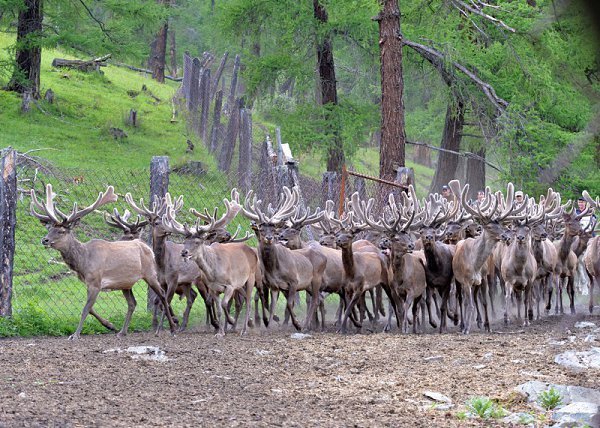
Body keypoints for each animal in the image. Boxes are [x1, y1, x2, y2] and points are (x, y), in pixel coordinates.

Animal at [30, 184, 176, 338]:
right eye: (50, 229)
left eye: (62, 231)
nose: (45, 240)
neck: (83, 262)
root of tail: (148, 248)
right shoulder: (88, 283)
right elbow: (90, 308)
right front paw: (110, 325)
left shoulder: (96, 281)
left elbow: (85, 309)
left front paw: (75, 334)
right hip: (125, 283)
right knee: (132, 303)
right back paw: (122, 331)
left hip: (150, 274)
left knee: (163, 295)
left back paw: (172, 328)